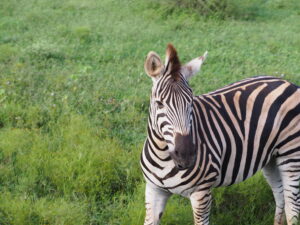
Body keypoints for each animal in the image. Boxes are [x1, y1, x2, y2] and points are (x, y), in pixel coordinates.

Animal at [141, 43, 300, 225]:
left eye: (191, 101)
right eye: (159, 104)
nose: (186, 156)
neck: (163, 155)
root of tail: (288, 83)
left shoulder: (201, 193)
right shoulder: (154, 190)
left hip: (291, 156)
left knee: (292, 206)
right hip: (271, 157)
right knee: (281, 196)